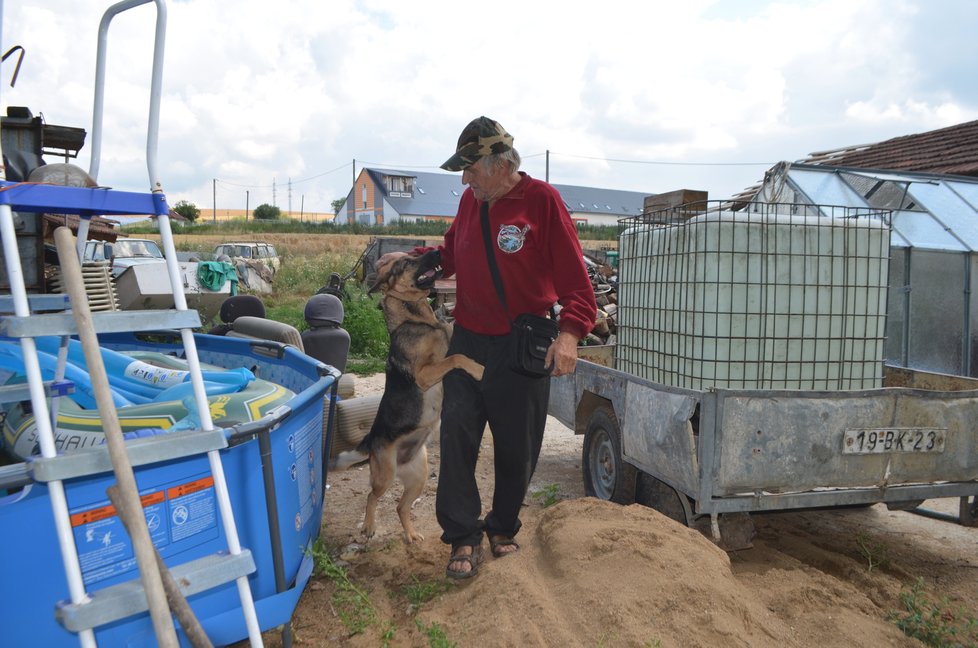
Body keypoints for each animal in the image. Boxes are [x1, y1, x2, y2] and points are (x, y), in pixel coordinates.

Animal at [328, 251, 484, 544]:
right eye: (408, 262)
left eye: (411, 255)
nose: (436, 251)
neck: (419, 319)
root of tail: (371, 440)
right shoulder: (424, 374)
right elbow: (457, 357)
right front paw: (478, 369)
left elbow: (454, 348)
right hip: (385, 477)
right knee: (371, 496)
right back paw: (369, 527)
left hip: (418, 477)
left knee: (401, 506)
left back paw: (410, 534)